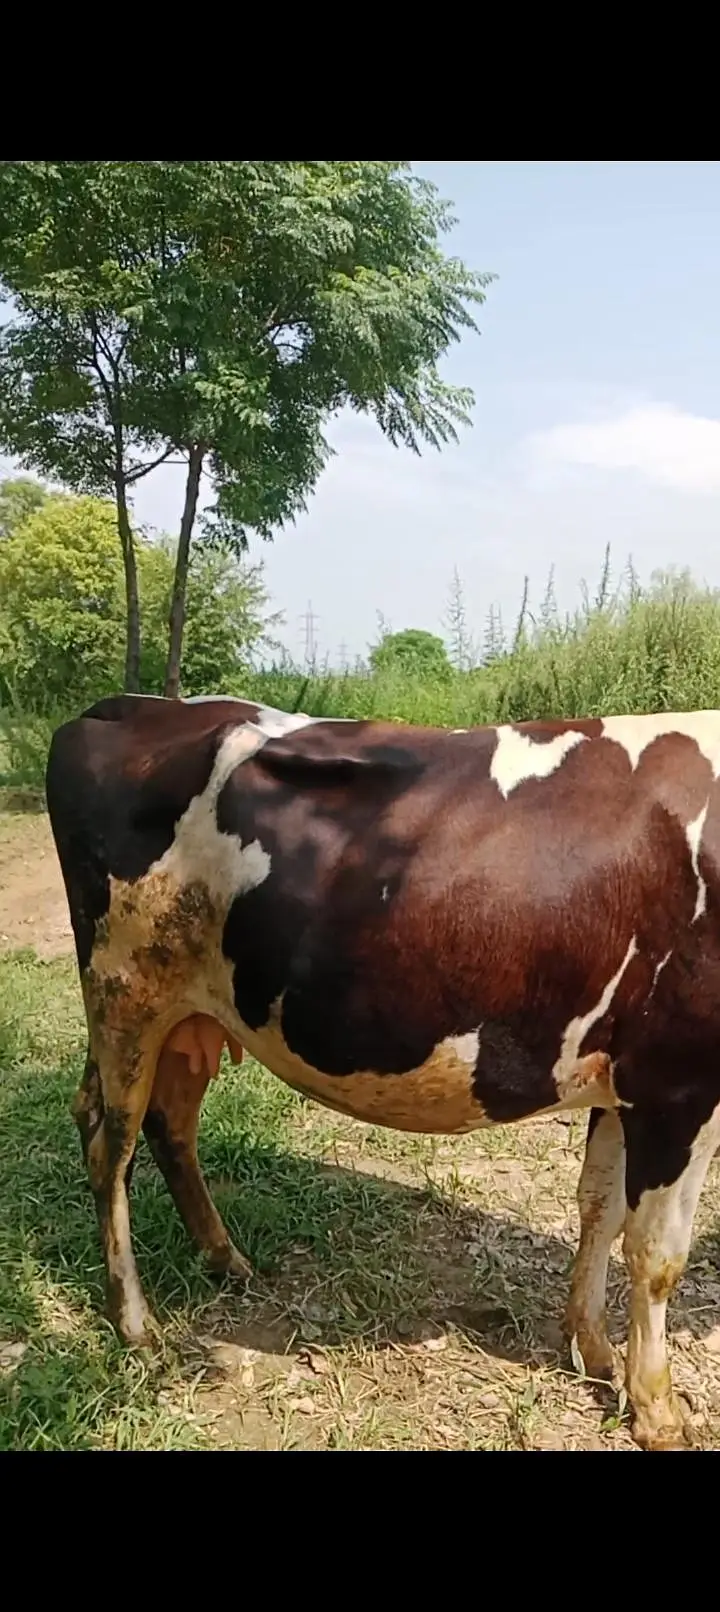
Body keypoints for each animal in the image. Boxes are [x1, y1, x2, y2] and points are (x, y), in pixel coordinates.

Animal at [44, 692, 720, 1451]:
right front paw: (658, 1410)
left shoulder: (622, 1079)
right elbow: (656, 1255)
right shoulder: (681, 1083)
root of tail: (135, 705)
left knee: (168, 1124)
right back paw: (137, 1326)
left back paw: (225, 1260)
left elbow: (598, 1212)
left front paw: (595, 1352)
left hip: (191, 1012)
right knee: (110, 1145)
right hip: (124, 990)